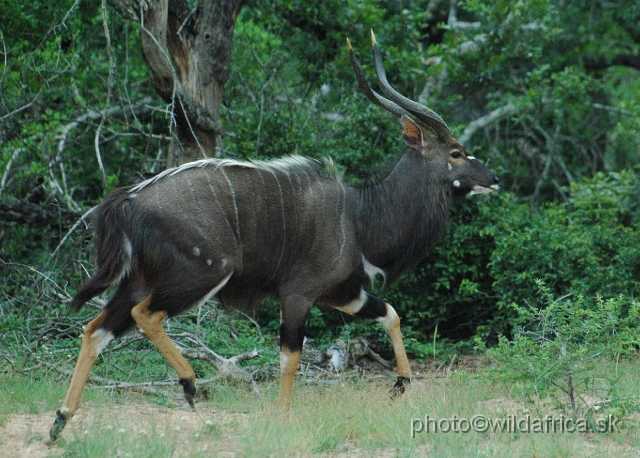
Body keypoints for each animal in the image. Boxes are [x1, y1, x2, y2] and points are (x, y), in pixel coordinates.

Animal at [50, 32, 500, 440]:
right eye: (456, 153)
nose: (493, 180)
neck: (359, 218)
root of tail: (129, 200)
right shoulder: (298, 294)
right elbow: (291, 356)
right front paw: (282, 417)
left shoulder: (343, 294)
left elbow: (390, 313)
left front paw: (401, 383)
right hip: (200, 274)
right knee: (146, 315)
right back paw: (190, 384)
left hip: (138, 280)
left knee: (95, 329)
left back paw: (60, 420)